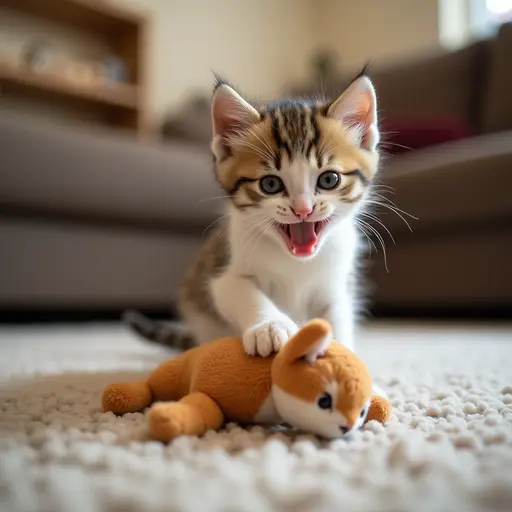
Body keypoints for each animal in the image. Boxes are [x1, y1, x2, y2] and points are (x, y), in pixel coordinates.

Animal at [125, 72, 378, 358]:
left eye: (329, 179)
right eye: (270, 184)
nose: (303, 209)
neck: (295, 262)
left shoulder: (337, 285)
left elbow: (338, 315)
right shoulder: (223, 273)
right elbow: (243, 292)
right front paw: (270, 326)